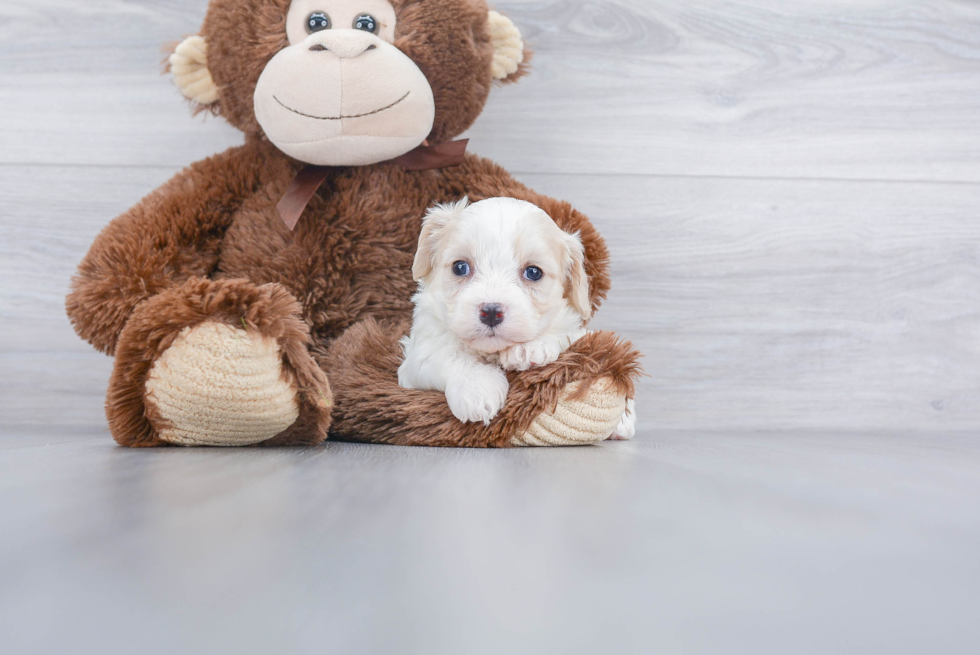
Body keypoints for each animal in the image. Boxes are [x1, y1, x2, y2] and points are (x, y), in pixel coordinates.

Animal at [396, 196, 636, 440]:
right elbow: (448, 356)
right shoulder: (415, 360)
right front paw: (477, 389)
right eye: (460, 267)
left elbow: (571, 335)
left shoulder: (577, 329)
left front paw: (530, 348)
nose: (491, 311)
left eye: (533, 272)